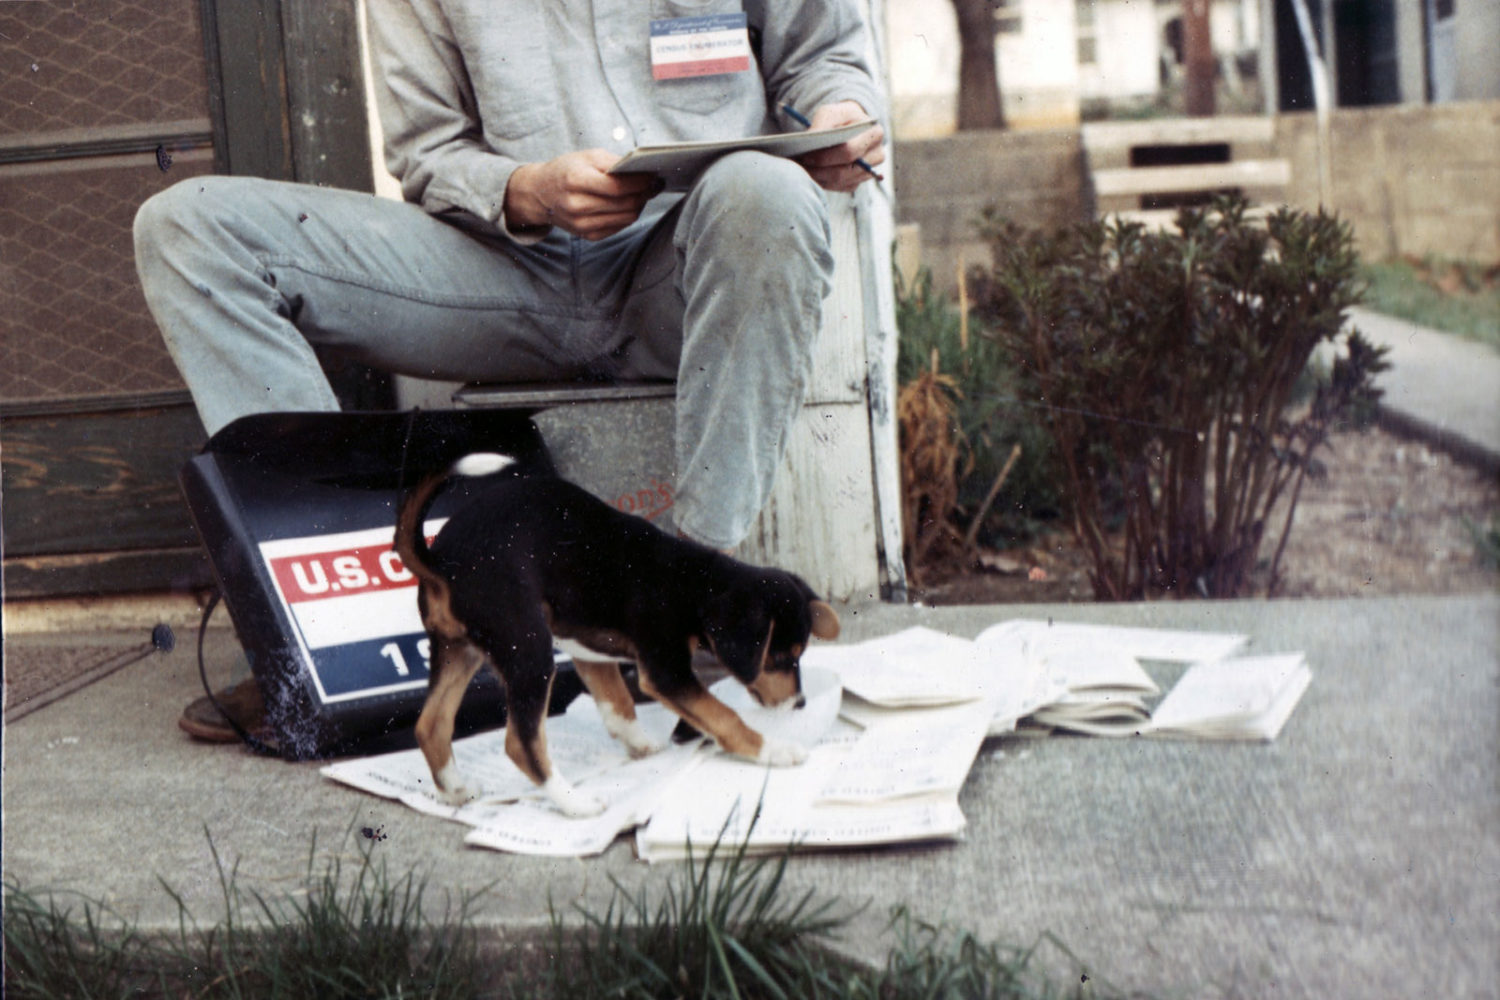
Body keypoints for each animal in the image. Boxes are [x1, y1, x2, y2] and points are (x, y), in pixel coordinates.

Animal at [399, 452, 840, 815]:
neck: (693, 584)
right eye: (778, 658)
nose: (800, 703)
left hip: (459, 651)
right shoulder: (666, 671)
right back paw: (575, 803)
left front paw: (640, 745)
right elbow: (723, 716)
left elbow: (617, 704)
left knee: (430, 725)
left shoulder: (587, 649)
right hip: (528, 653)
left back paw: (455, 791)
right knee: (520, 742)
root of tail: (442, 560)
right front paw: (773, 751)